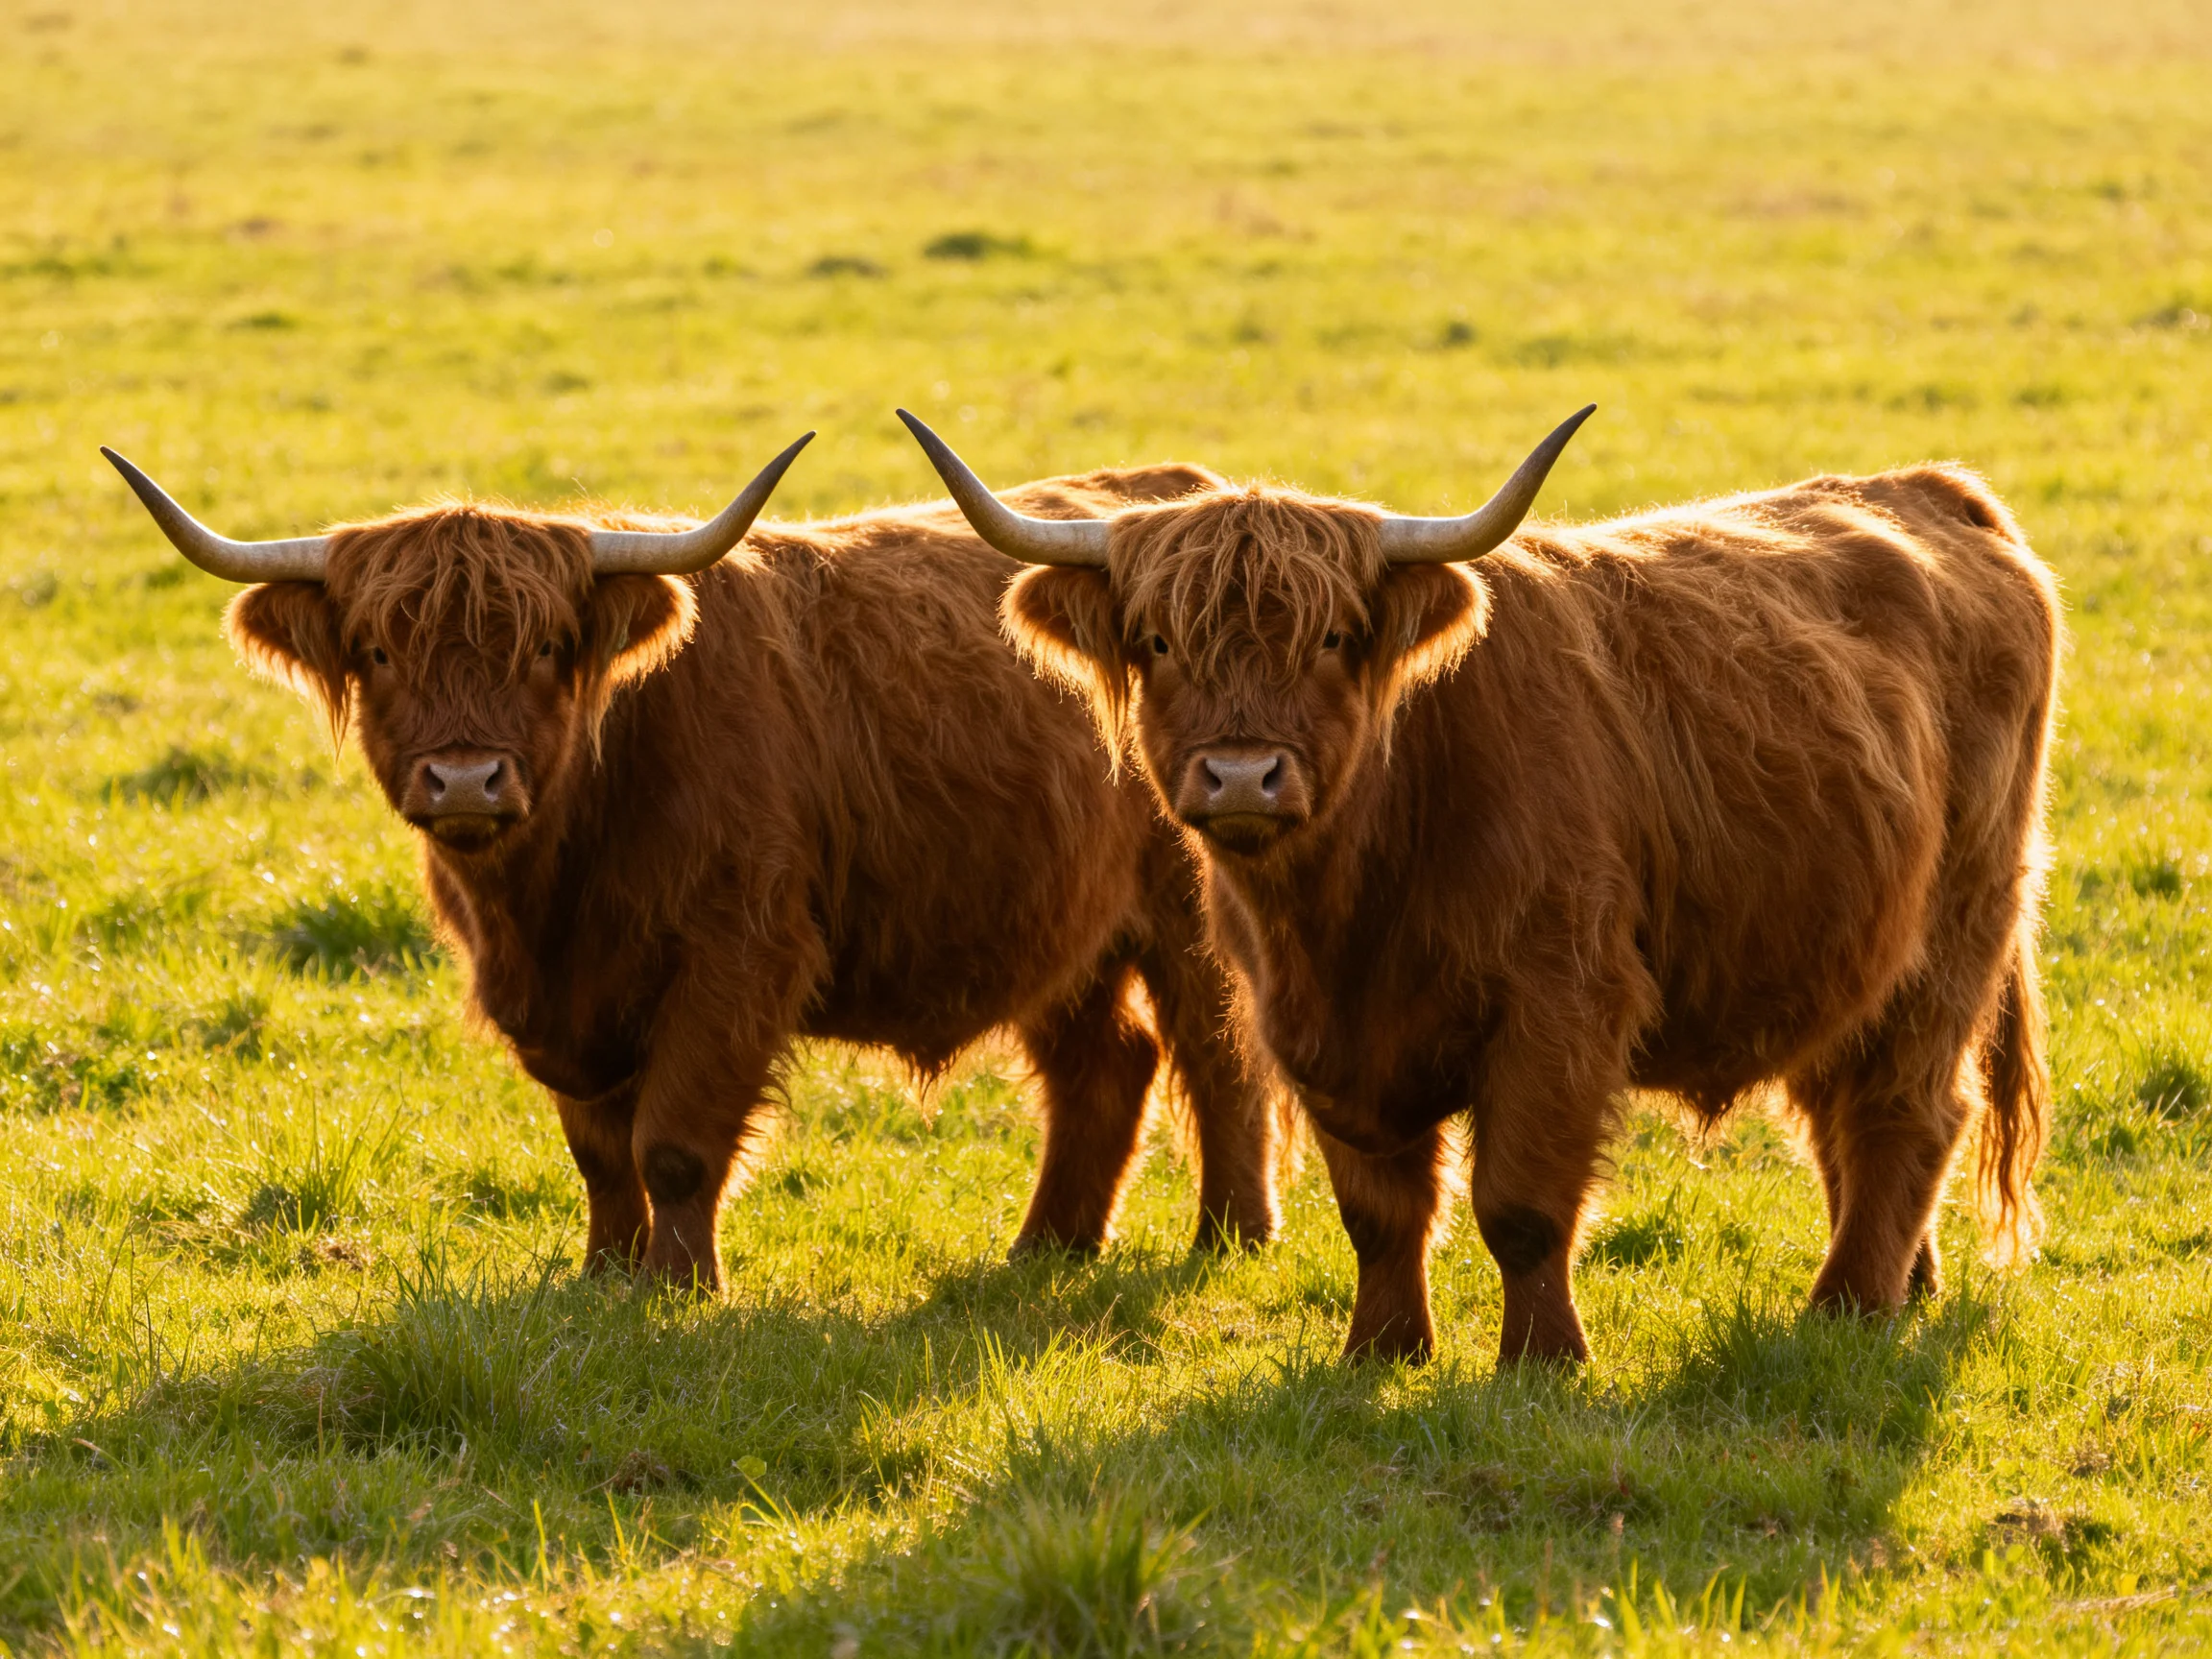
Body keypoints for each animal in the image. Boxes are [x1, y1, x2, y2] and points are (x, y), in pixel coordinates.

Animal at [105, 436, 1284, 1290]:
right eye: (381, 650)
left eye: (546, 647)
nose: (465, 781)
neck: (552, 887)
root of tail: (1170, 497)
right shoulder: (566, 1001)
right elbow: (598, 1150)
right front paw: (604, 1277)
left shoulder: (737, 954)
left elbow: (672, 1141)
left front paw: (681, 1288)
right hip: (1053, 917)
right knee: (1105, 1065)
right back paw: (1045, 1248)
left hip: (1191, 901)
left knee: (1217, 1051)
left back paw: (1229, 1237)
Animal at [901, 406, 2059, 1367]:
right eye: (1157, 641)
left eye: (1335, 636)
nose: (1240, 775)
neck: (1353, 907)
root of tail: (1932, 490)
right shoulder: (1316, 1033)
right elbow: (1379, 1209)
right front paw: (1381, 1352)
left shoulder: (1561, 1004)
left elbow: (1521, 1204)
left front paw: (1542, 1363)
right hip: (1845, 942)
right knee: (1843, 1111)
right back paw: (1907, 1284)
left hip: (1957, 930)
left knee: (1909, 1109)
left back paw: (1846, 1308)